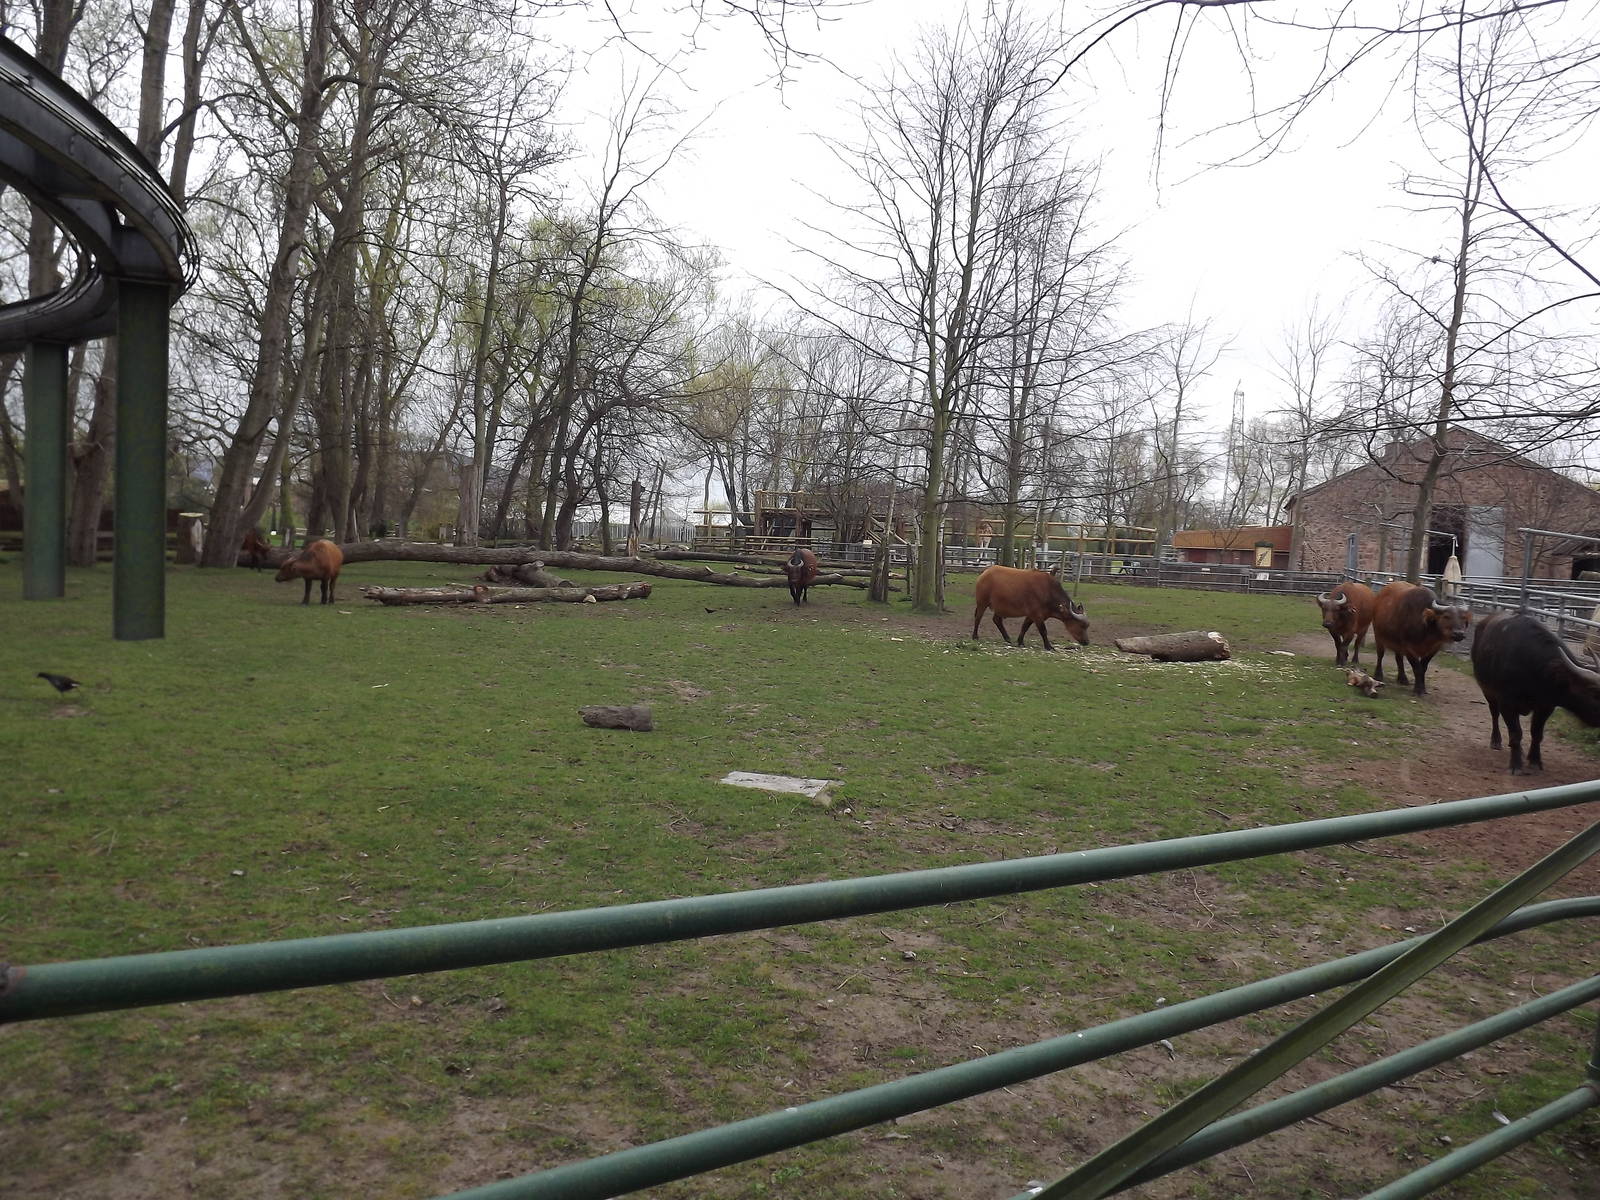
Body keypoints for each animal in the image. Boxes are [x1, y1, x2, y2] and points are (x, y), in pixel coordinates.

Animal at [1470, 611, 1600, 773]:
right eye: (1593, 691)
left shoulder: (1545, 706)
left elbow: (1536, 733)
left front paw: (1535, 761)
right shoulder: (1507, 703)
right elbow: (1516, 733)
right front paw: (1516, 765)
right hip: (1487, 691)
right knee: (1494, 714)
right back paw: (1496, 741)